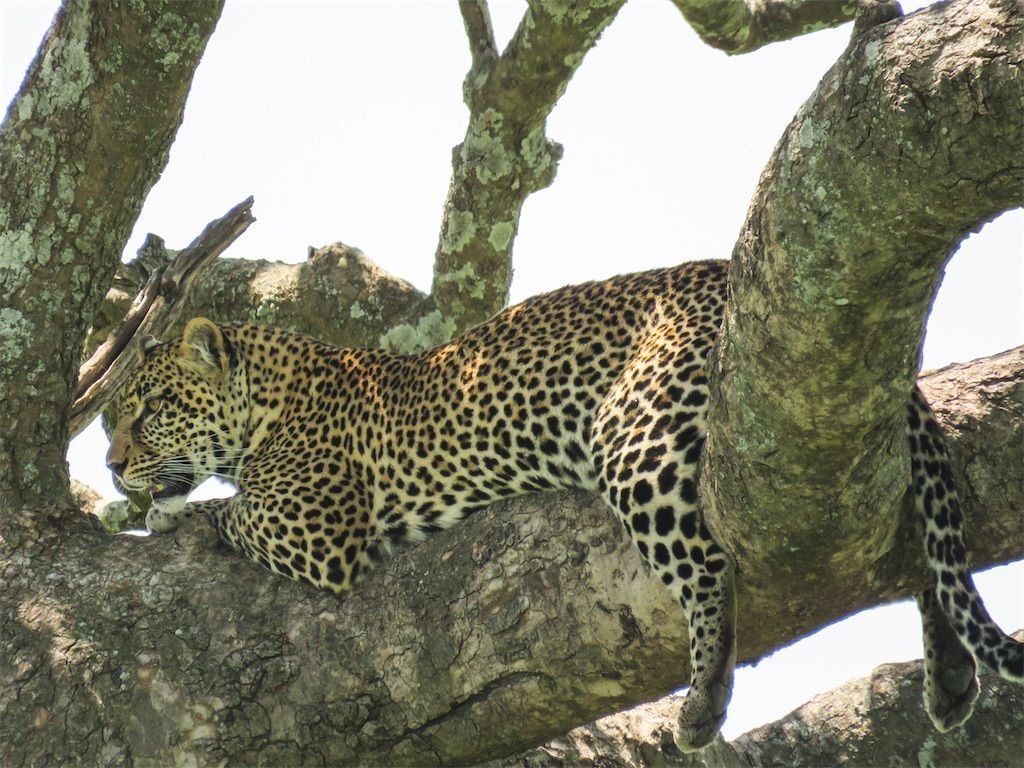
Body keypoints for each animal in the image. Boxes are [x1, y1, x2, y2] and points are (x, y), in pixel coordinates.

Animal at [108, 262, 1019, 753]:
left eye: (146, 411)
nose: (112, 468)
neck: (270, 391)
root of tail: (726, 271)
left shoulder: (316, 525)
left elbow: (231, 509)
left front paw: (176, 515)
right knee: (915, 542)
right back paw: (949, 678)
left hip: (634, 435)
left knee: (709, 564)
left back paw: (703, 702)